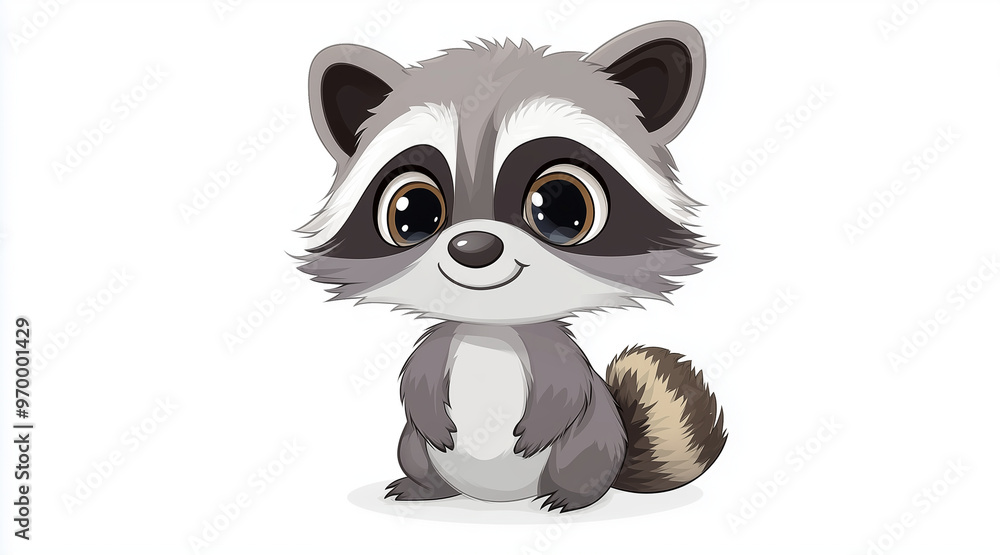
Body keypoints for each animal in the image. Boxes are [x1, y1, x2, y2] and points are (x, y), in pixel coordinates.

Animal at [298, 21, 726, 512]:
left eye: (562, 206)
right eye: (413, 211)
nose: (473, 247)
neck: (491, 328)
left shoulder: (552, 354)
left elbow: (566, 386)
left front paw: (544, 421)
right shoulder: (442, 344)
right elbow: (419, 376)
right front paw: (426, 410)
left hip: (591, 442)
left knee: (583, 462)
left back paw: (572, 496)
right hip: (414, 448)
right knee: (416, 453)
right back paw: (424, 488)